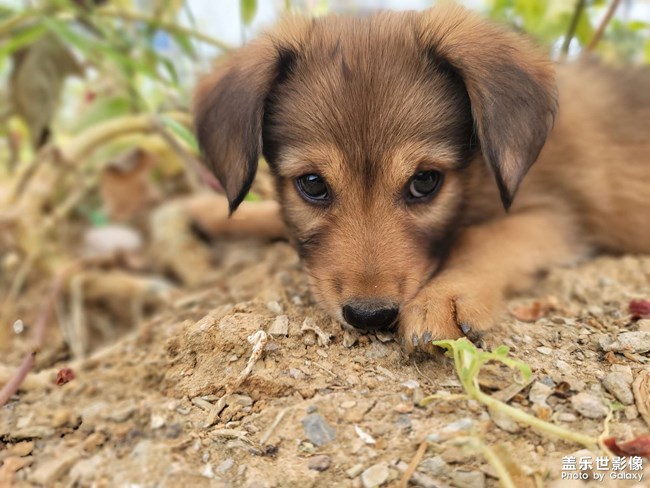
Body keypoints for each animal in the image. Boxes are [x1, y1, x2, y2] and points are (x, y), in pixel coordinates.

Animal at [191, 5, 648, 352]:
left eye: (425, 181)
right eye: (313, 184)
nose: (370, 316)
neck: (481, 169)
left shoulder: (556, 216)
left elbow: (484, 238)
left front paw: (445, 297)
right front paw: (210, 213)